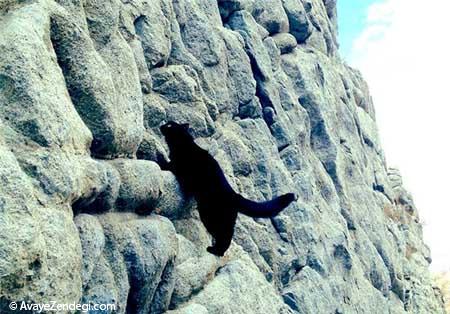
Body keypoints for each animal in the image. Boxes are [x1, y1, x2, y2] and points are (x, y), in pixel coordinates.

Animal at [158, 121, 296, 256]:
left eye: (169, 125)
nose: (161, 125)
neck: (183, 144)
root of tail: (235, 195)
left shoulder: (177, 166)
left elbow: (166, 165)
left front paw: (158, 159)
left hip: (211, 216)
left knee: (224, 236)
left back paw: (215, 251)